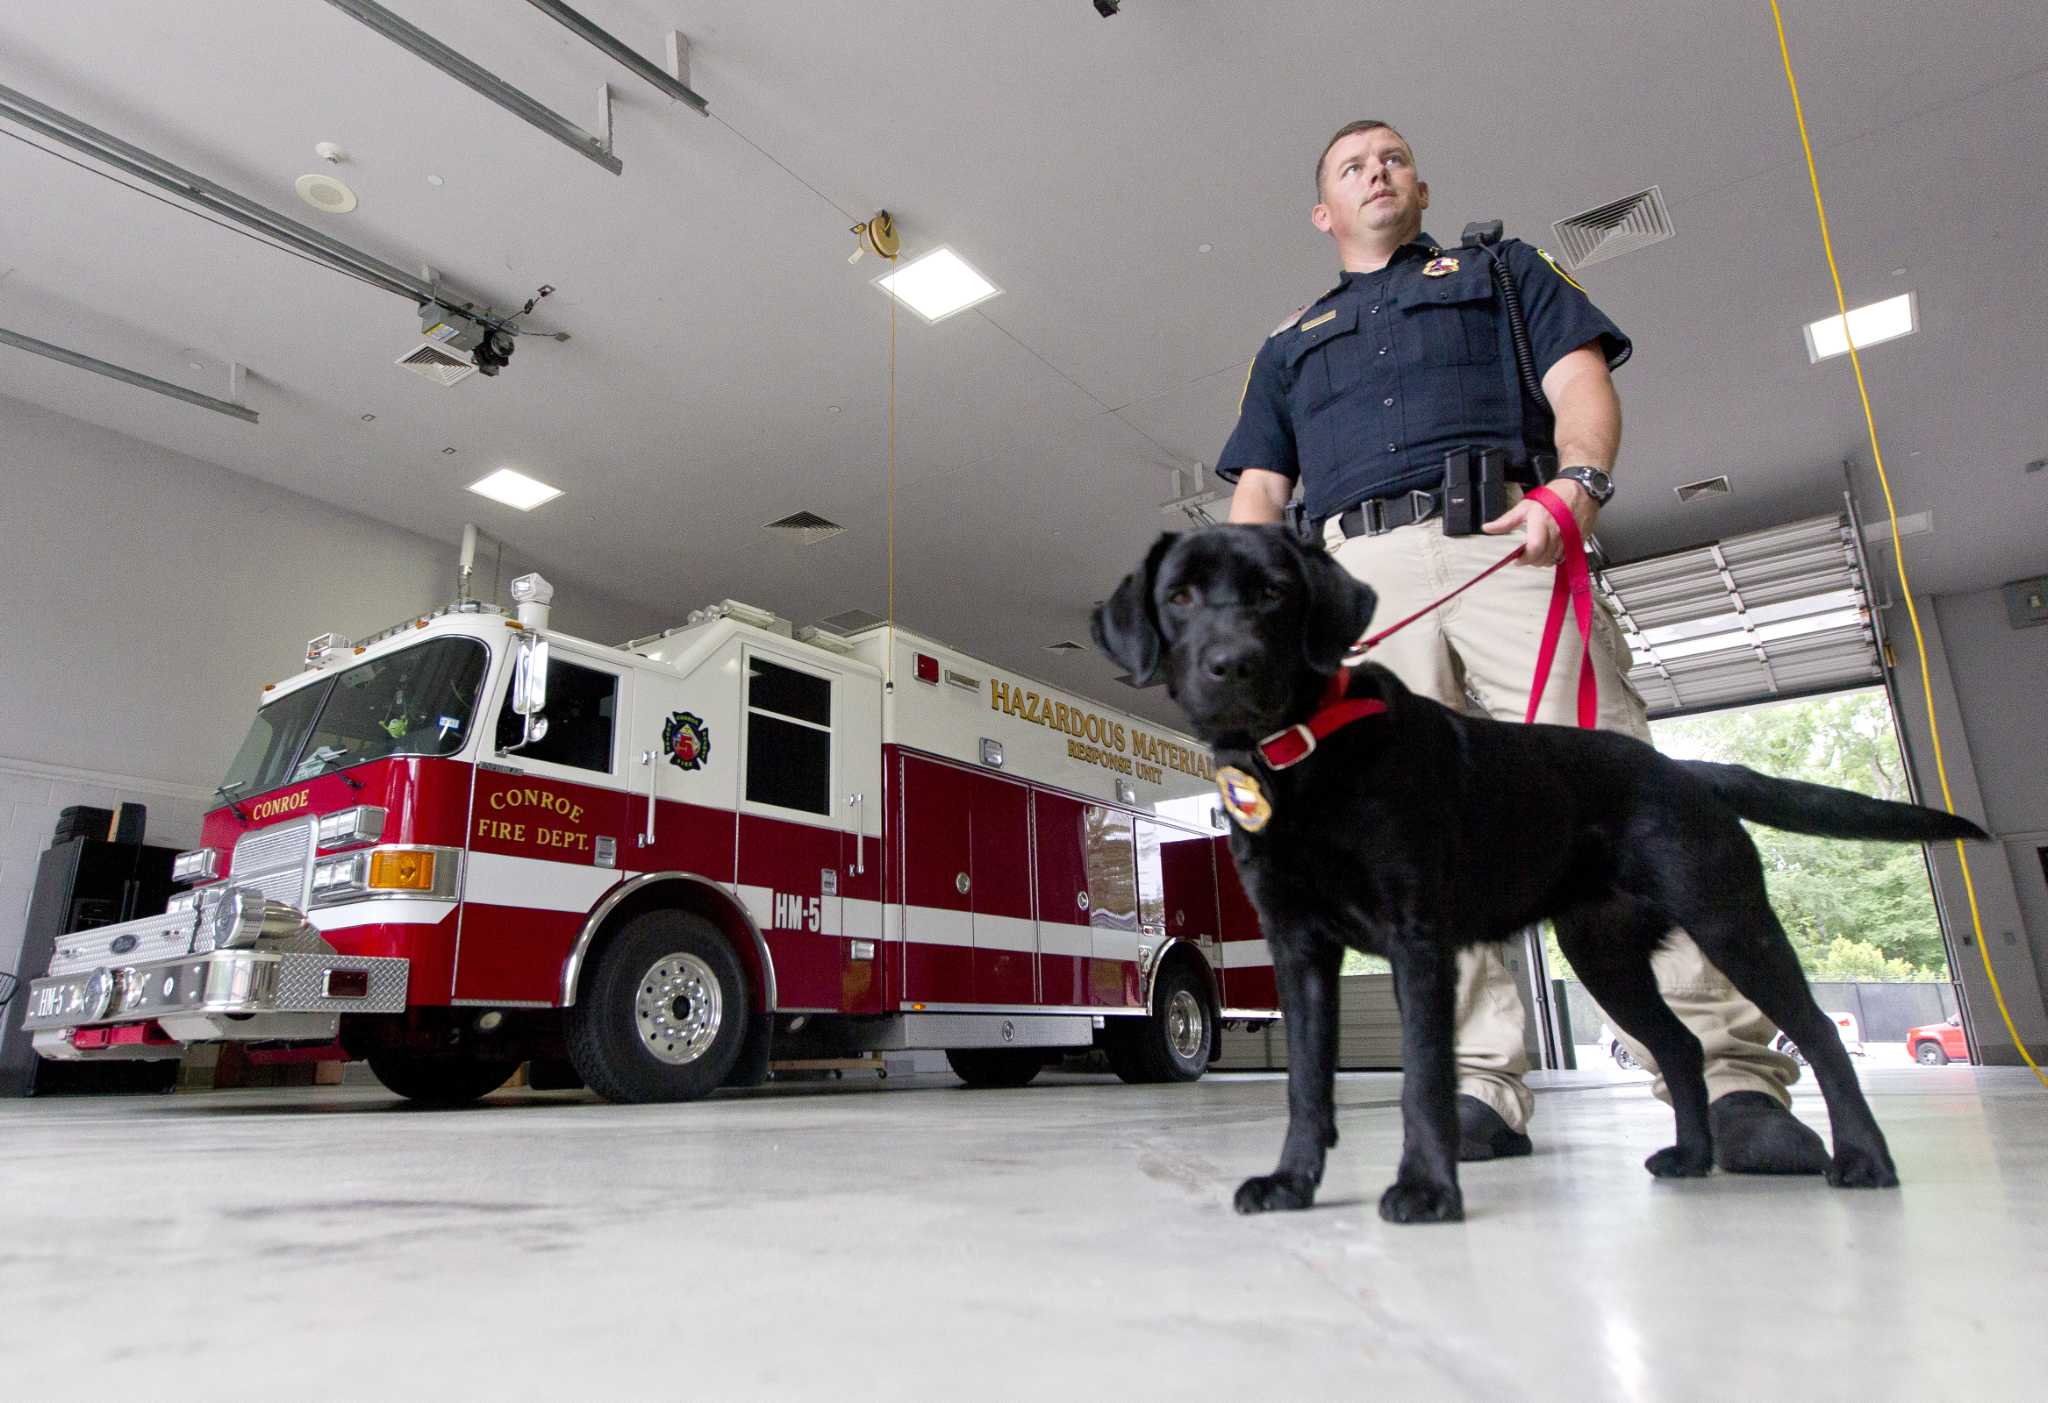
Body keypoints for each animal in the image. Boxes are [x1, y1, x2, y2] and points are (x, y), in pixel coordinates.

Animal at [1105, 520, 1982, 1220]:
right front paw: (1291, 1182)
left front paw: (1427, 1189)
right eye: (1180, 595)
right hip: (1604, 955)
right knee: (1680, 1048)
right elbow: (1306, 1082)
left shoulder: (1416, 939)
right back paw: (1692, 1158)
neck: (1304, 755)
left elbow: (1425, 1077)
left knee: (1816, 1037)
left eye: (1275, 593)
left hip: (1730, 921)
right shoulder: (1300, 948)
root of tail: (1692, 772)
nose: (1231, 665)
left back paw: (1862, 1159)